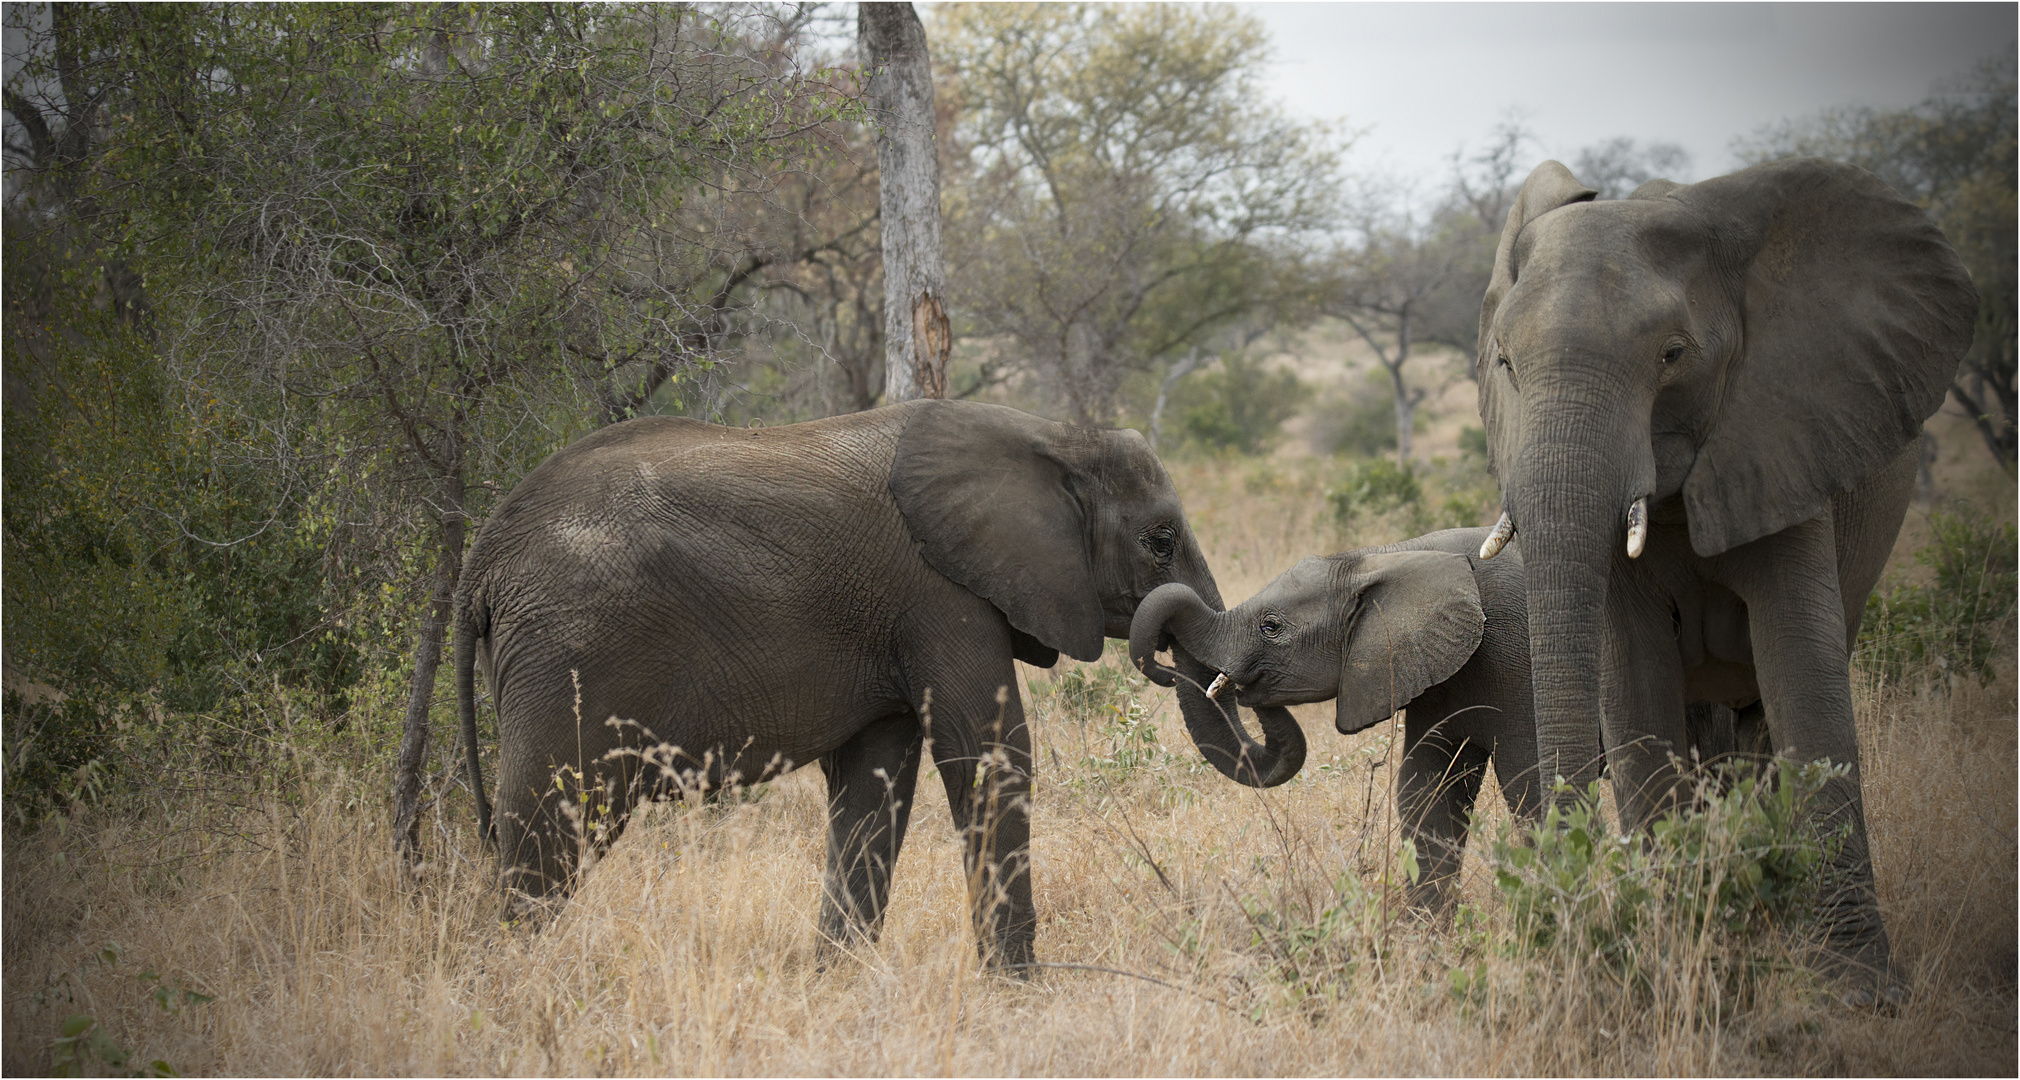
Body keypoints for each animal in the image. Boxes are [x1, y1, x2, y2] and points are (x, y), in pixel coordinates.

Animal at [454, 399, 1308, 973]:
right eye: (1160, 540)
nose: (1164, 658)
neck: (1048, 434)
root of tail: (481, 562)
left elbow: (873, 784)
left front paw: (838, 983)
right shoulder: (940, 595)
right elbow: (990, 758)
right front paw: (1020, 988)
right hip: (568, 649)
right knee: (551, 822)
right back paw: (513, 983)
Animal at [1131, 528, 1535, 908]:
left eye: (1271, 627)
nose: (1162, 668)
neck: (1386, 557)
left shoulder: (1515, 666)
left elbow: (1528, 785)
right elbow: (1426, 795)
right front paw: (1428, 932)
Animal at [1478, 156, 1979, 1001]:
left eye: (1672, 355)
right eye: (1506, 365)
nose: (1561, 922)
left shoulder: (1789, 430)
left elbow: (1801, 671)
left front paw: (1859, 992)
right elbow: (1634, 683)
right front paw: (1663, 953)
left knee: (1759, 725)